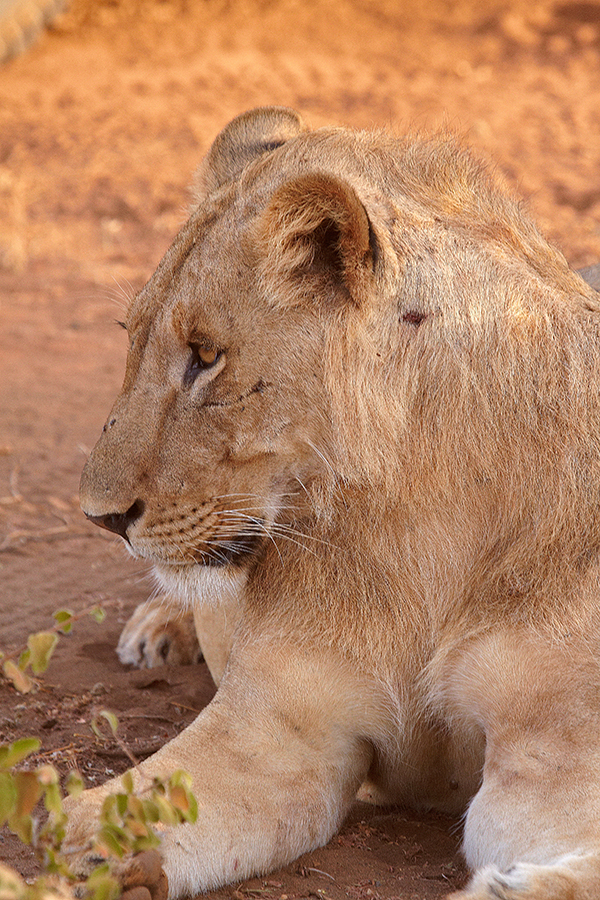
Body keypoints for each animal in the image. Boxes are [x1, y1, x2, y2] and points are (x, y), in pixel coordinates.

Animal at [64, 107, 600, 900]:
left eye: (205, 355)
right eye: (130, 341)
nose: (101, 517)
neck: (419, 517)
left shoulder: (549, 758)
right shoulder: (281, 729)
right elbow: (106, 818)